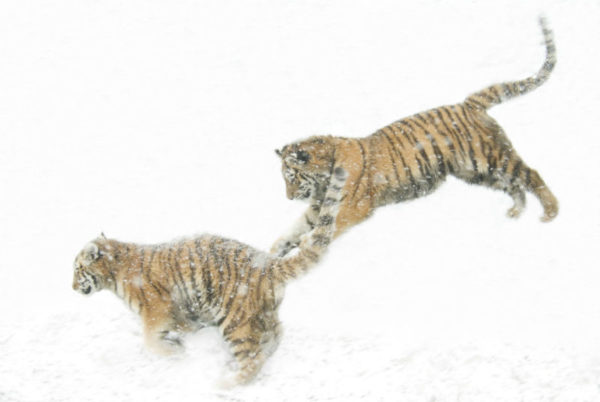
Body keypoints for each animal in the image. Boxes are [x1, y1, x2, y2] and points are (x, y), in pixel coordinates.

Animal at [73, 167, 350, 386]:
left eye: (77, 269)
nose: (72, 286)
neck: (114, 273)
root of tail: (268, 263)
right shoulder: (181, 312)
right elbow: (184, 329)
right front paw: (182, 344)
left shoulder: (157, 311)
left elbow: (151, 341)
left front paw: (176, 353)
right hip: (263, 314)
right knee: (273, 339)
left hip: (236, 320)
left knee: (252, 358)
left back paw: (226, 383)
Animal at [272, 16, 556, 258]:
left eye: (292, 177)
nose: (289, 198)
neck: (322, 181)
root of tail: (469, 103)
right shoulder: (319, 207)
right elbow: (291, 232)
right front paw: (271, 255)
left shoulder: (353, 207)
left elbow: (326, 229)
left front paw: (306, 245)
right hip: (477, 171)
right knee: (514, 185)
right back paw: (516, 212)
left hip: (492, 158)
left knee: (530, 175)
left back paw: (551, 213)